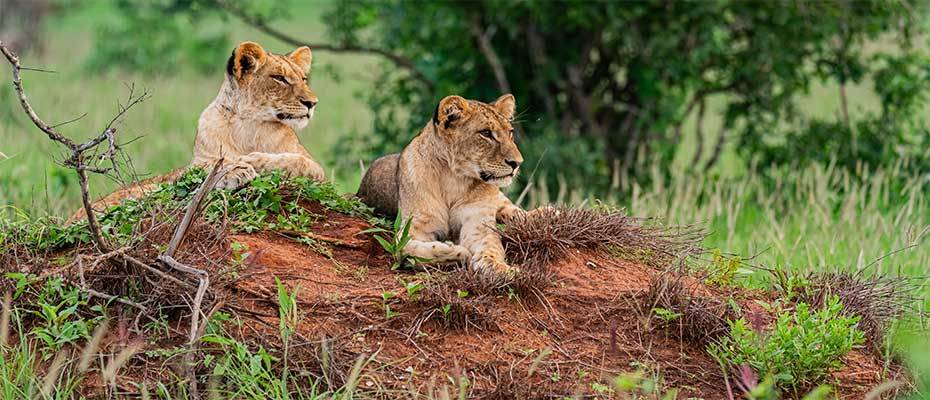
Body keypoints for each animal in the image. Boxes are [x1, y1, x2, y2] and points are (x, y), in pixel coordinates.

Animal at [68, 42, 322, 223]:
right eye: (279, 78)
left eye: (303, 79)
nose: (312, 103)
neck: (250, 125)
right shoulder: (196, 163)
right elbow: (204, 166)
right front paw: (237, 169)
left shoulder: (317, 170)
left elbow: (298, 162)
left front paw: (255, 160)